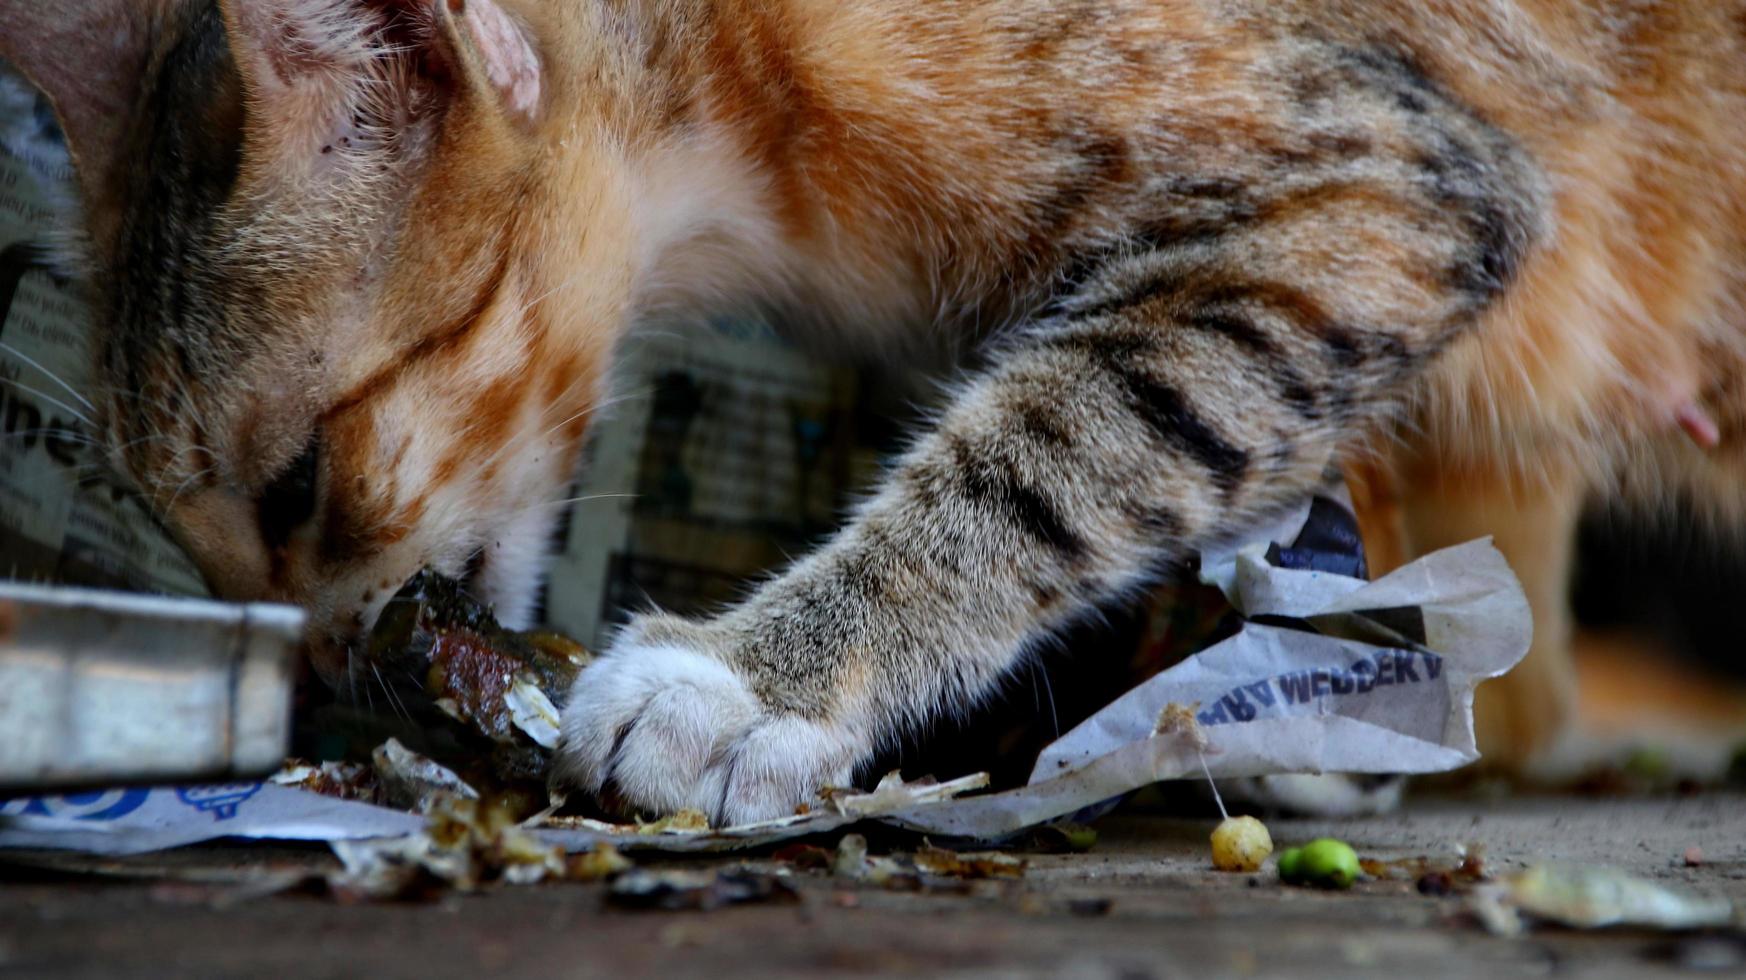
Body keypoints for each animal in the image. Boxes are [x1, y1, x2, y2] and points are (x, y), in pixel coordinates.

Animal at [3, 1, 1746, 824]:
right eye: (199, 546)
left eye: (301, 485)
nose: (315, 677)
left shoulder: (1378, 192)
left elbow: (1054, 447)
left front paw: (748, 681)